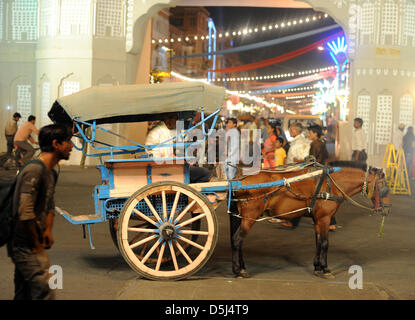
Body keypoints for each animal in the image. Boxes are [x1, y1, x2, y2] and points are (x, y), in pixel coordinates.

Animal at [229, 161, 392, 278]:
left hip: (242, 217)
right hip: (250, 217)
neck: (332, 184)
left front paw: (317, 267)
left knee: (238, 241)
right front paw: (325, 269)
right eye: (383, 185)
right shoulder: (325, 218)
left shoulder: (318, 219)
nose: (388, 209)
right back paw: (238, 270)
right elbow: (325, 243)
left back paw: (241, 268)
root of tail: (238, 181)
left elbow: (318, 242)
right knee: (238, 239)